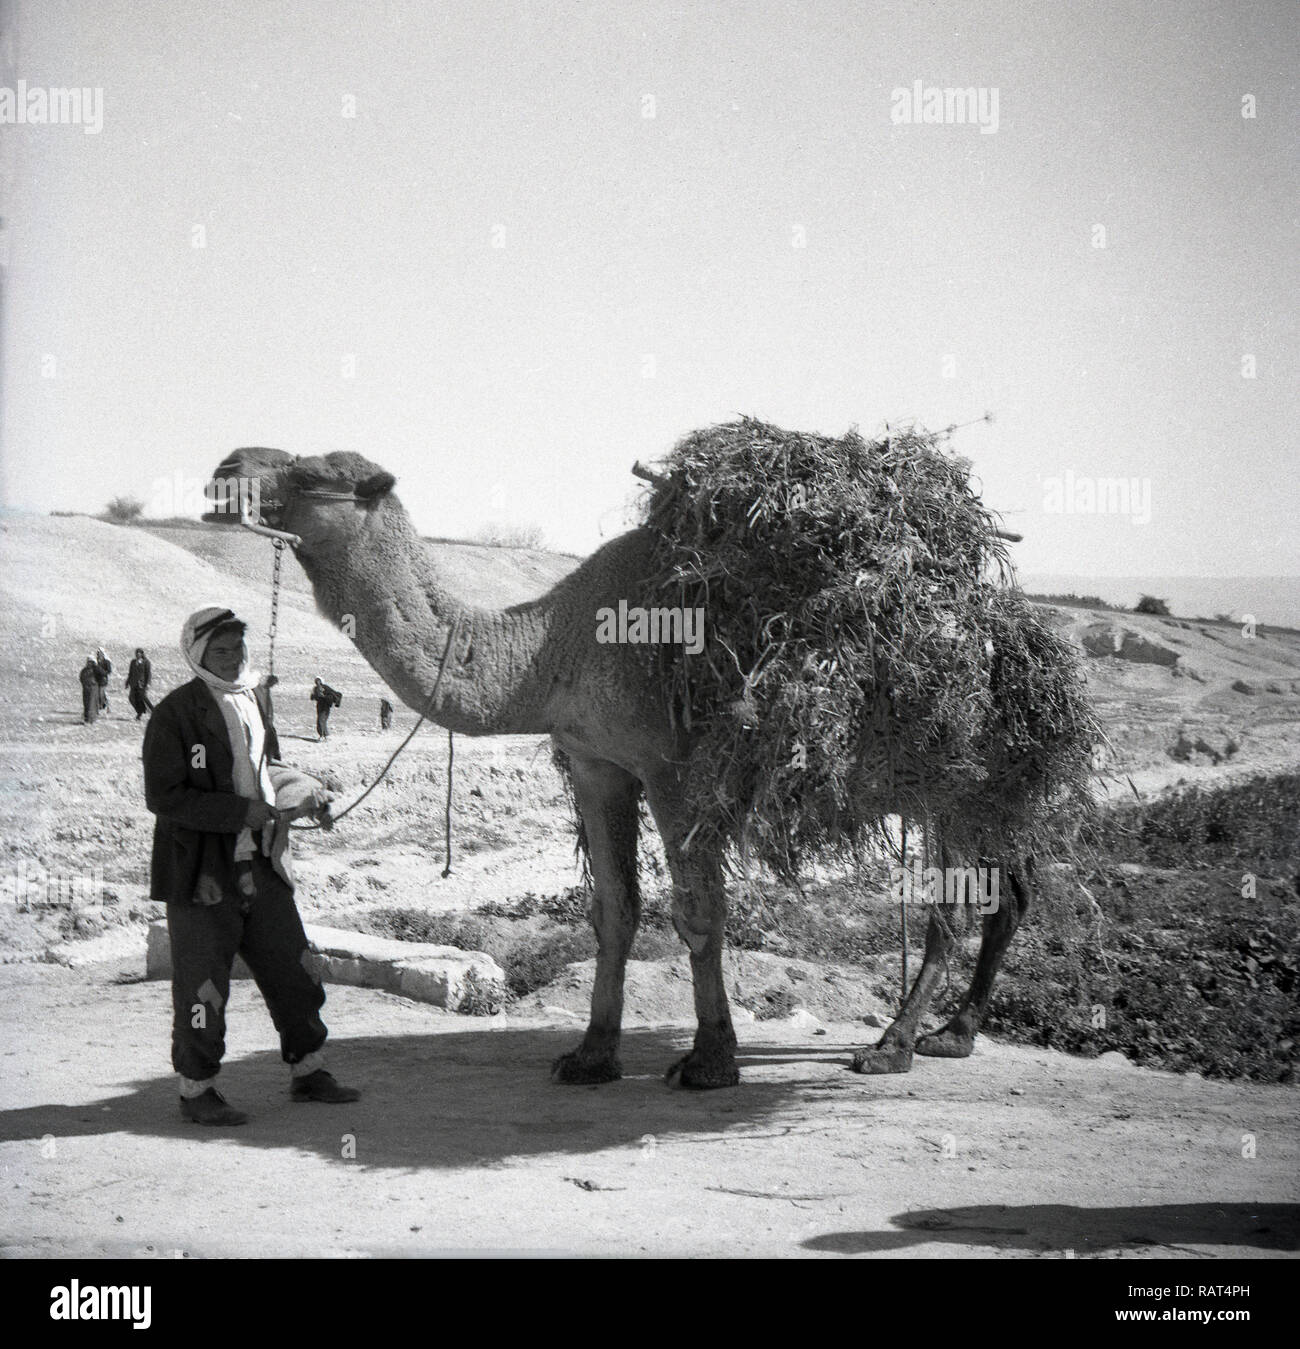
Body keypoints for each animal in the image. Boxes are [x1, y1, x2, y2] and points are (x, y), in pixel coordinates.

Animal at [213, 445, 1041, 1084]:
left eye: (312, 473)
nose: (224, 471)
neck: (551, 645)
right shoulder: (595, 761)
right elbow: (614, 910)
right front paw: (591, 1054)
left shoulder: (672, 768)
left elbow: (698, 910)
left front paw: (710, 1060)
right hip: (984, 789)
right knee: (1010, 891)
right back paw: (952, 1034)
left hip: (952, 779)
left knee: (955, 904)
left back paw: (894, 1046)